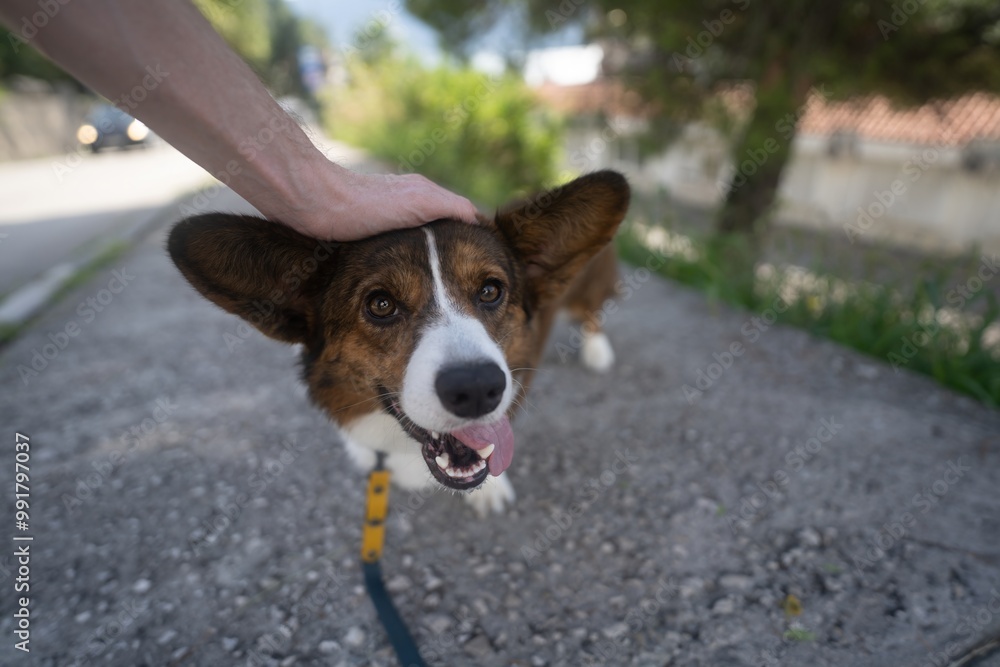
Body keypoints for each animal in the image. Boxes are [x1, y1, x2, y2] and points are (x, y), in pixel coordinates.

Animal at [168, 171, 628, 516]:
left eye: (490, 291)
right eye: (381, 304)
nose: (478, 388)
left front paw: (492, 490)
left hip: (589, 291)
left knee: (593, 313)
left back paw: (598, 350)